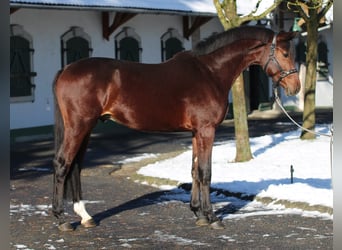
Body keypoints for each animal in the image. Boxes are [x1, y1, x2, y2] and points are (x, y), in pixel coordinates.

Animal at [52, 26, 300, 231]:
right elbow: (206, 172)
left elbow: (194, 170)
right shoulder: (207, 130)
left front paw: (198, 214)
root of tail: (66, 69)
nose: (295, 87)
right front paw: (212, 217)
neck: (210, 71)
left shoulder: (196, 132)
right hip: (79, 126)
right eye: (285, 54)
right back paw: (61, 219)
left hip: (86, 127)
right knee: (63, 163)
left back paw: (85, 216)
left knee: (75, 166)